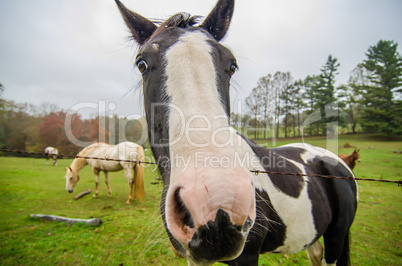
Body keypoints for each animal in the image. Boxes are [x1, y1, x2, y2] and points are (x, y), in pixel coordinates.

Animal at [114, 0, 356, 264]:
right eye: (142, 64)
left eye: (232, 65)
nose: (216, 208)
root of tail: (339, 162)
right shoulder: (193, 257)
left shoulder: (247, 256)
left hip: (336, 238)